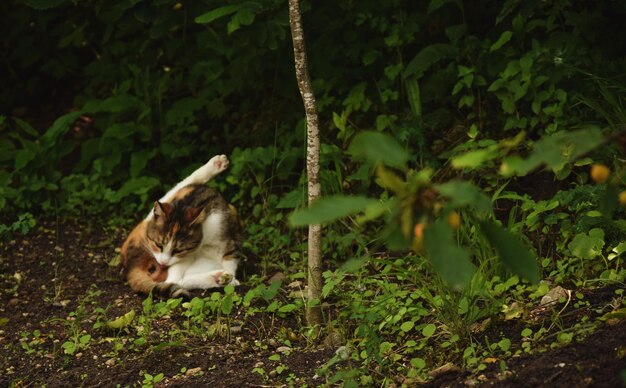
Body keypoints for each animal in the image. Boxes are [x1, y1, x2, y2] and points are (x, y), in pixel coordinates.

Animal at [119, 155, 241, 298]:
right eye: (158, 245)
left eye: (178, 250)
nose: (163, 263)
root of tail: (129, 266)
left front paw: (231, 279)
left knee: (177, 281)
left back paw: (219, 277)